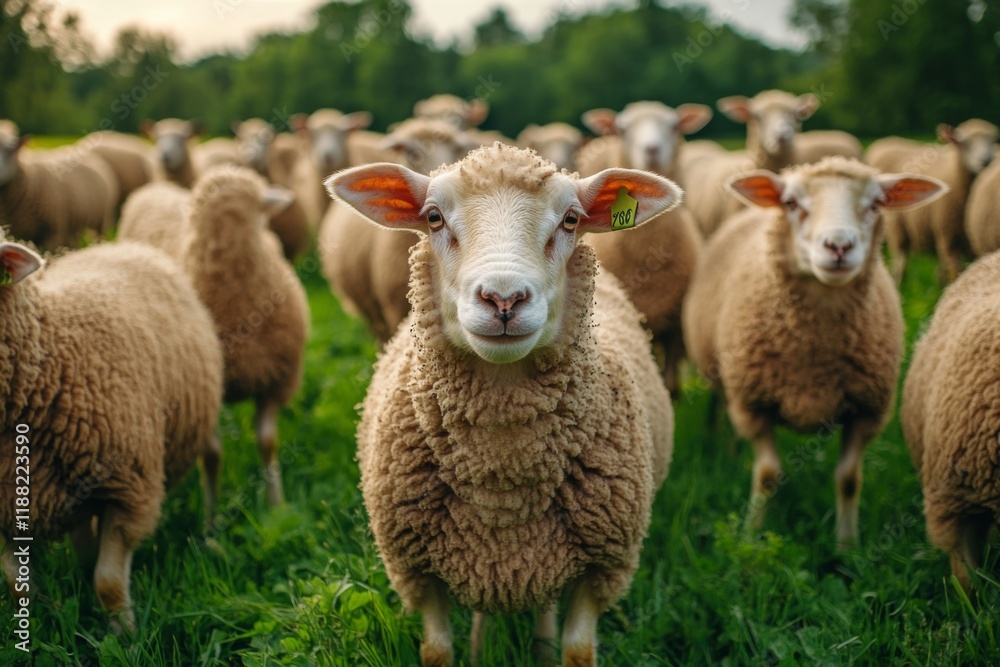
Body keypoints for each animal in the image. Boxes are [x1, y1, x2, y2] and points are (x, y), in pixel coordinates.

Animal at [0, 235, 224, 632]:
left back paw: (211, 528)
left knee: (211, 459)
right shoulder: (7, 509)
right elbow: (17, 585)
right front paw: (35, 630)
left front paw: (127, 637)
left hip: (199, 408)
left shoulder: (129, 488)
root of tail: (122, 244)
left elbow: (108, 583)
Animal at [118, 166, 309, 506]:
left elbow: (268, 443)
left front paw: (277, 506)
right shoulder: (203, 396)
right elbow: (211, 457)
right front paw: (212, 517)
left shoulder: (273, 381)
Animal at [326, 142, 677, 666]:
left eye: (571, 220)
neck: (502, 475)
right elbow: (437, 652)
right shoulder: (416, 572)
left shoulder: (603, 568)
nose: (504, 299)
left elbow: (577, 651)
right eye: (433, 218)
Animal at [682, 157, 946, 550]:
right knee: (721, 405)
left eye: (875, 204)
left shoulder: (867, 411)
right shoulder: (754, 405)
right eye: (791, 203)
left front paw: (846, 546)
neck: (814, 363)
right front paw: (751, 536)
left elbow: (849, 479)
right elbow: (767, 475)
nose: (838, 246)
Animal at [865, 119, 998, 284]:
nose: (985, 161)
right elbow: (954, 274)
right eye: (964, 142)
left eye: (993, 141)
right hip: (897, 227)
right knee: (900, 263)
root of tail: (887, 140)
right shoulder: (948, 237)